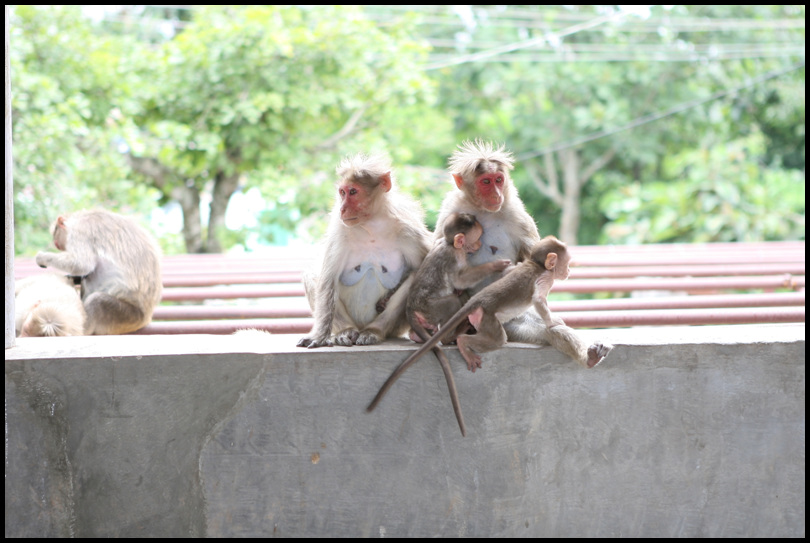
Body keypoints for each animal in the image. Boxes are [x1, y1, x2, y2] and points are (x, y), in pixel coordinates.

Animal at [34, 209, 163, 334]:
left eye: (55, 235)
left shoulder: (80, 230)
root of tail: (146, 317)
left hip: (126, 316)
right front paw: (75, 277)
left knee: (97, 300)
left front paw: (42, 257)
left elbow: (82, 264)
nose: (56, 243)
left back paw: (82, 328)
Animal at [296, 153, 432, 348]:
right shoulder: (340, 230)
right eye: (342, 192)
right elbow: (328, 280)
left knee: (415, 278)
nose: (342, 208)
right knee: (314, 275)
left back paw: (374, 331)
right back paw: (346, 331)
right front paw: (319, 336)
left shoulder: (409, 232)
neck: (371, 226)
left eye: (353, 192)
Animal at [366, 214, 504, 438]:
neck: (449, 244)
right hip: (431, 308)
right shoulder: (455, 258)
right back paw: (451, 335)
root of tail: (411, 309)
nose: (479, 245)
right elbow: (460, 280)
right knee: (452, 303)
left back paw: (419, 335)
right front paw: (494, 266)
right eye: (476, 238)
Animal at [370, 236, 572, 418]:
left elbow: (507, 272)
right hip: (487, 318)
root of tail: (478, 300)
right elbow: (538, 299)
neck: (538, 265)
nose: (569, 270)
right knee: (498, 338)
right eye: (566, 262)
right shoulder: (545, 278)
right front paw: (552, 321)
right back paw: (462, 341)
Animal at [432, 140, 608, 370]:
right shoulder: (450, 208)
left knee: (549, 329)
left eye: (499, 180)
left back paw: (590, 355)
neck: (483, 210)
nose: (496, 194)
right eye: (485, 182)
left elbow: (531, 254)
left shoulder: (517, 214)